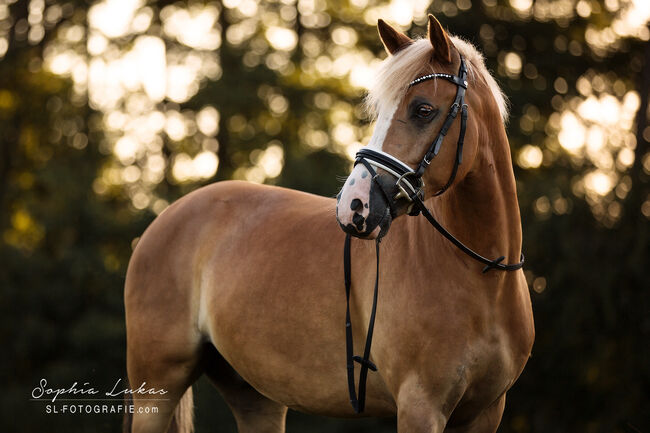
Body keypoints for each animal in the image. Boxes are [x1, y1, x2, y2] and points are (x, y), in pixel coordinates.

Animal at [123, 15, 534, 433]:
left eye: (423, 109)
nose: (354, 204)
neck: (482, 275)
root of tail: (165, 219)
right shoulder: (420, 408)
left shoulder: (485, 412)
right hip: (157, 389)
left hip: (254, 395)